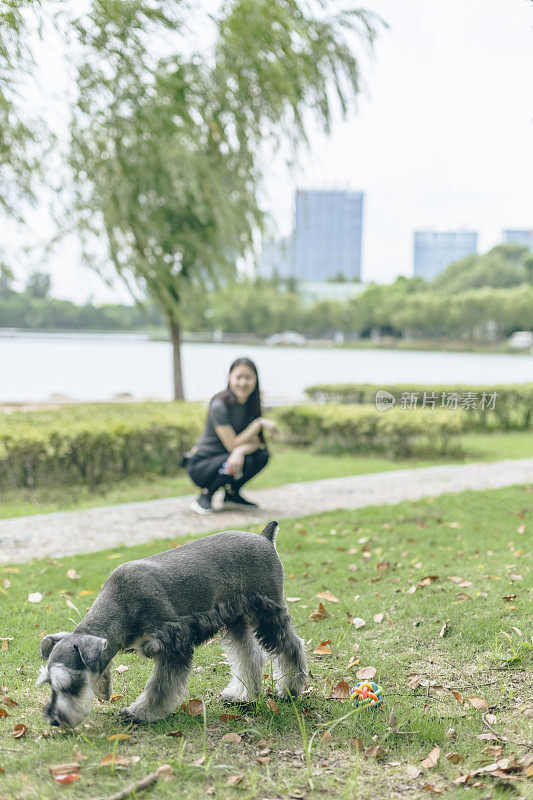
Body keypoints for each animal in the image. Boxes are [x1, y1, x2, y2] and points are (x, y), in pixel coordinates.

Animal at [36, 520, 304, 728]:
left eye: (70, 685)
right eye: (49, 684)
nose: (53, 719)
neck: (122, 605)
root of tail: (264, 538)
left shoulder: (174, 644)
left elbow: (160, 688)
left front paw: (140, 713)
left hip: (269, 613)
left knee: (291, 647)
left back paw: (291, 689)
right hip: (235, 619)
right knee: (249, 656)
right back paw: (242, 696)